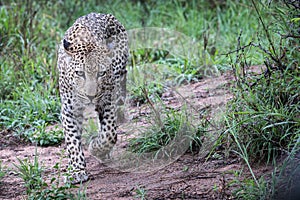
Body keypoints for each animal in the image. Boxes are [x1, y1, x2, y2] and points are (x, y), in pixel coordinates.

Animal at [56, 12, 128, 184]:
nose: (90, 96)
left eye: (101, 73)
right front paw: (76, 170)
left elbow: (109, 133)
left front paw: (96, 148)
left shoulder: (106, 102)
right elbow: (72, 141)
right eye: (79, 73)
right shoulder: (70, 110)